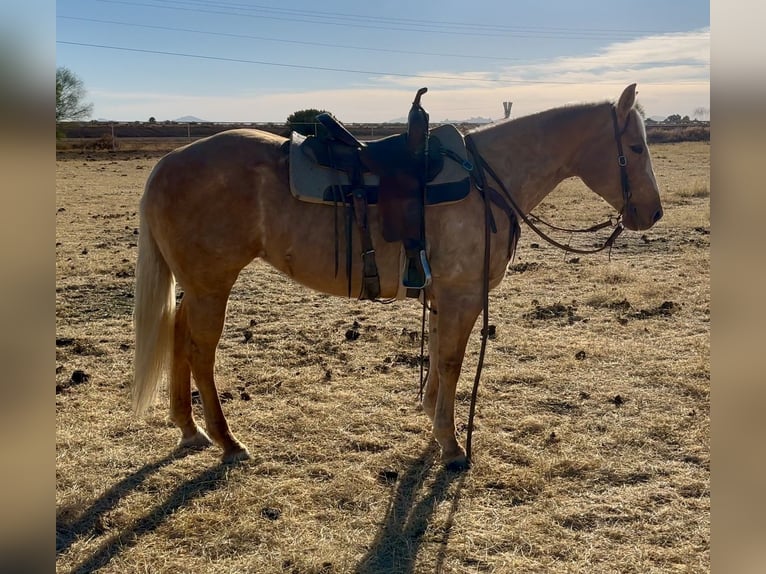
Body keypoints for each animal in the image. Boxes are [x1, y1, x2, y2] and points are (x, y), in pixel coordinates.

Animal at [134, 83, 664, 470]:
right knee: (200, 352)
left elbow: (438, 357)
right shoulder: (462, 294)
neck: (487, 180)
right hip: (211, 284)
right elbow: (451, 361)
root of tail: (166, 164)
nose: (653, 213)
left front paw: (433, 419)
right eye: (635, 146)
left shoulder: (442, 294)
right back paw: (227, 441)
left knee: (178, 336)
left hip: (196, 286)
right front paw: (451, 445)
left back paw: (189, 428)